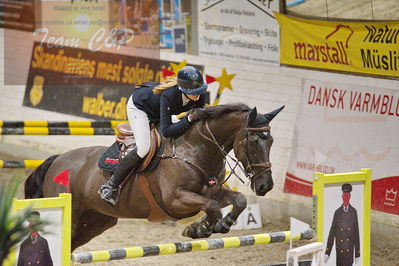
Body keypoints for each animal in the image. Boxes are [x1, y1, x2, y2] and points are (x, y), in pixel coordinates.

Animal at [23, 103, 284, 250]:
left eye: (271, 140)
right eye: (253, 141)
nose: (265, 185)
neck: (196, 149)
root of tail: (58, 160)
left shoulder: (212, 190)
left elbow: (237, 201)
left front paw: (218, 225)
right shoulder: (175, 200)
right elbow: (210, 207)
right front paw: (199, 229)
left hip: (96, 221)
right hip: (72, 216)